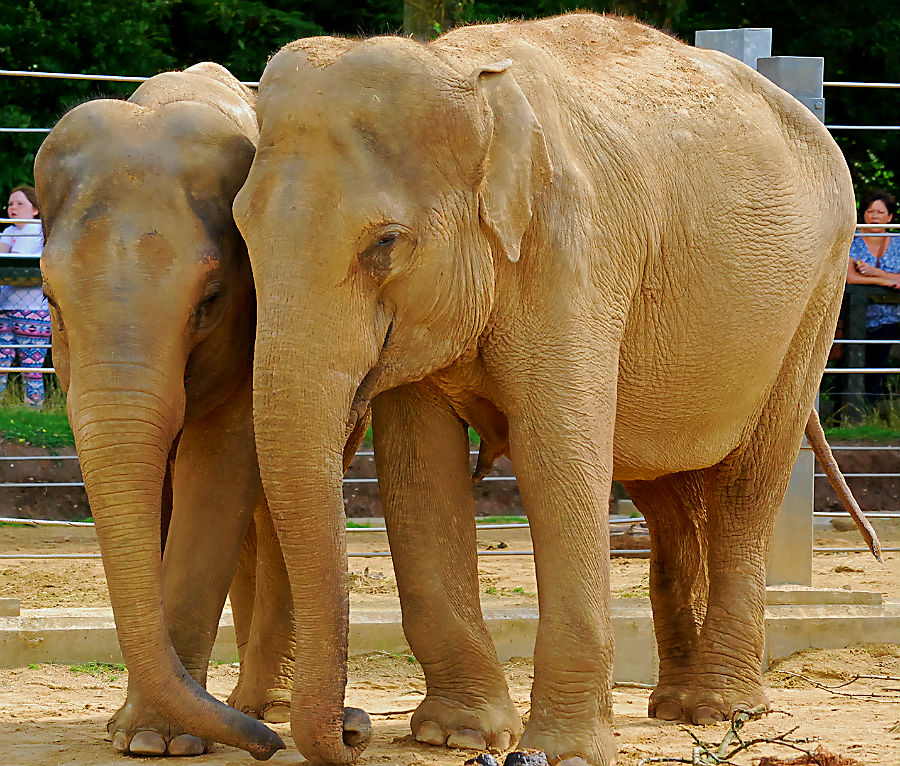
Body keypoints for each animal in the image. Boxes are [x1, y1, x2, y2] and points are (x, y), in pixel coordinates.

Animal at [33, 63, 299, 758]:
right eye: (49, 298)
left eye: (209, 300)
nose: (266, 746)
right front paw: (135, 735)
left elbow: (218, 469)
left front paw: (161, 742)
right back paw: (252, 706)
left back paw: (268, 707)